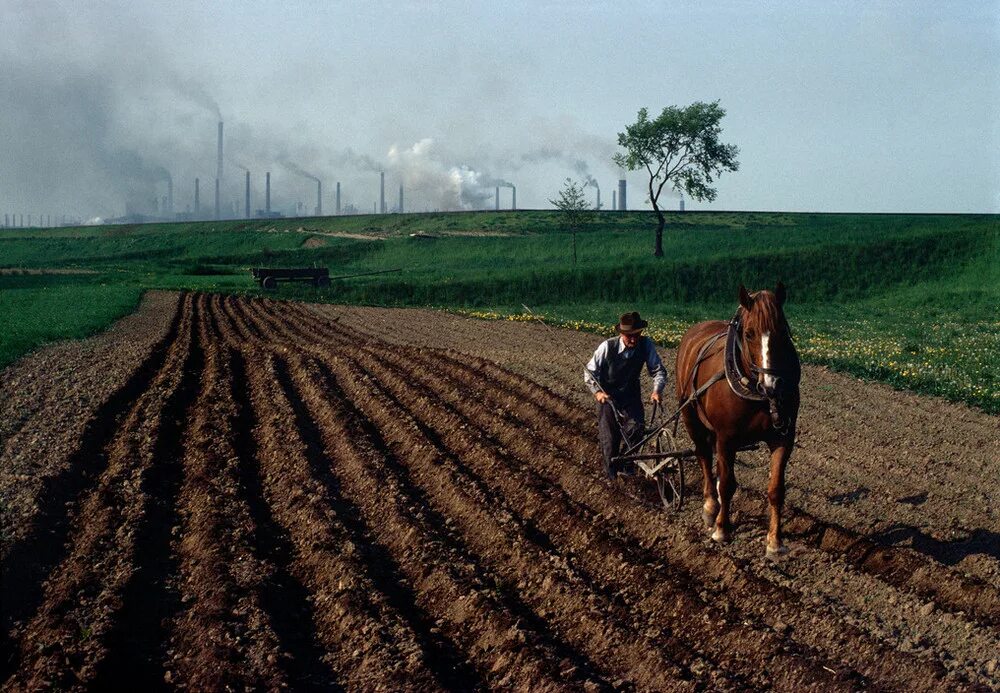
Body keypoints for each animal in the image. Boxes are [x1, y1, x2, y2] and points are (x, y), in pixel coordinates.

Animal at [676, 282, 800, 556]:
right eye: (750, 334)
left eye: (783, 331)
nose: (772, 384)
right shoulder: (726, 438)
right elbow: (727, 484)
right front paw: (722, 530)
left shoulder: (783, 438)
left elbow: (776, 489)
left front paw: (775, 542)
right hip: (690, 416)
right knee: (703, 456)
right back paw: (710, 506)